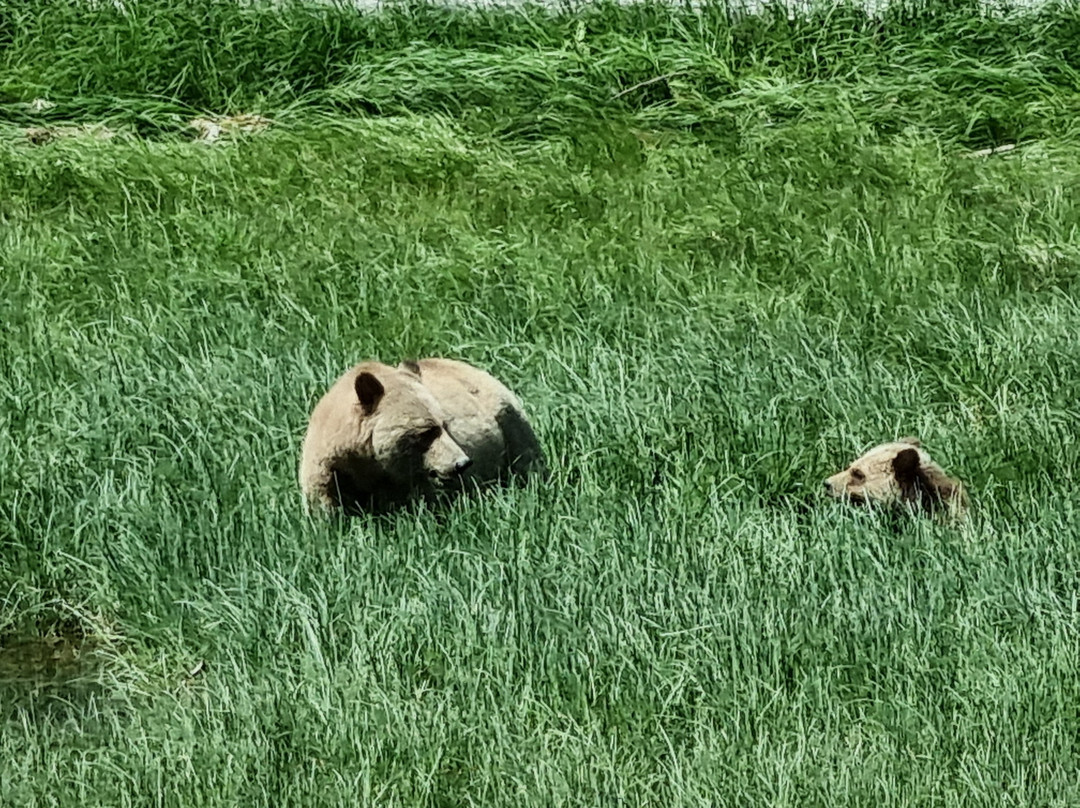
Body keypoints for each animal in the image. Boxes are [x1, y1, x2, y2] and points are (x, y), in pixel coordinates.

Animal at [299, 358, 545, 515]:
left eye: (445, 424)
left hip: (507, 417)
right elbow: (325, 509)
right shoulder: (328, 470)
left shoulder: (413, 476)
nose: (462, 463)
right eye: (428, 430)